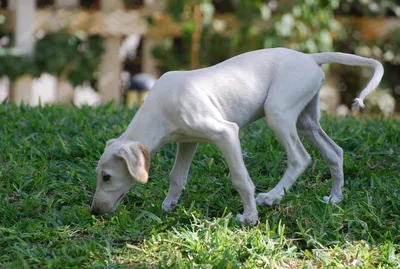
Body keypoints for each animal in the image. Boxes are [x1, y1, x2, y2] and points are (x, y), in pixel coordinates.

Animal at [90, 47, 384, 223]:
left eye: (107, 177)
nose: (94, 211)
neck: (160, 108)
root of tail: (310, 57)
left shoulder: (226, 134)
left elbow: (241, 179)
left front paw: (250, 216)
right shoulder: (188, 141)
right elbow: (177, 176)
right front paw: (169, 205)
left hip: (278, 113)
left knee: (300, 158)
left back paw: (273, 197)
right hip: (305, 121)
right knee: (334, 152)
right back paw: (335, 198)